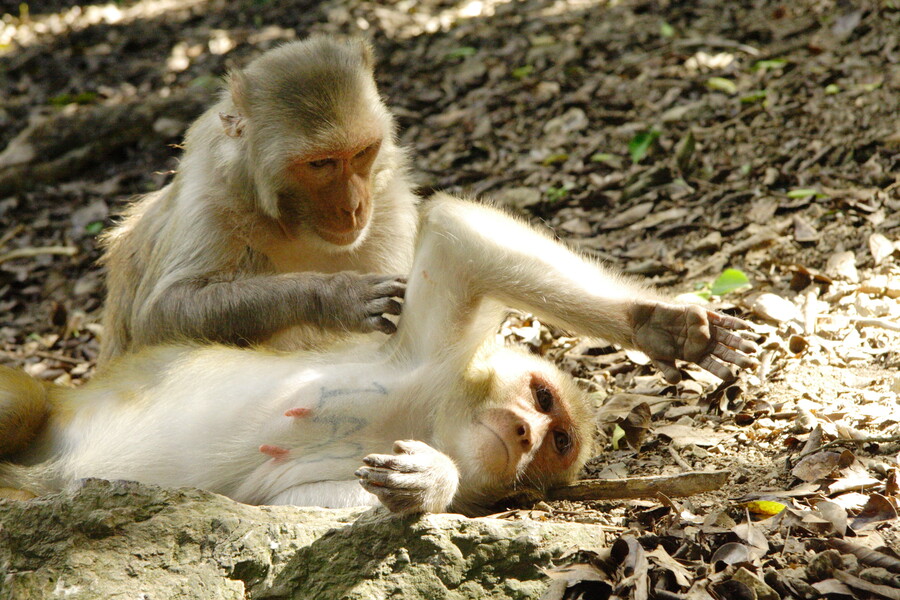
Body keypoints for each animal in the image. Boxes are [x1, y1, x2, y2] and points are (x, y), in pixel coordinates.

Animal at [0, 195, 757, 515]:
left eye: (558, 442)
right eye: (543, 402)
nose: (526, 431)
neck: (431, 412)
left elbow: (294, 508)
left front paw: (429, 480)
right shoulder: (426, 354)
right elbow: (459, 240)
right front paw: (665, 325)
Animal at [98, 36, 419, 364]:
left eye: (362, 152)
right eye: (320, 163)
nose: (353, 207)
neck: (291, 223)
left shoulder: (389, 204)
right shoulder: (211, 201)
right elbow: (157, 318)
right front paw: (335, 296)